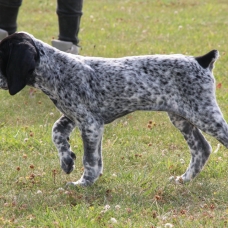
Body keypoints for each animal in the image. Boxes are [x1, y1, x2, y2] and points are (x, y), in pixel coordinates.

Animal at [0, 31, 228, 186]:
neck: (57, 70)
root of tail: (202, 61)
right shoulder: (75, 117)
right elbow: (57, 132)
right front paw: (67, 160)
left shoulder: (90, 124)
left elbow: (90, 161)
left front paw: (83, 183)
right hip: (183, 118)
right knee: (201, 149)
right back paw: (184, 179)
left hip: (205, 115)